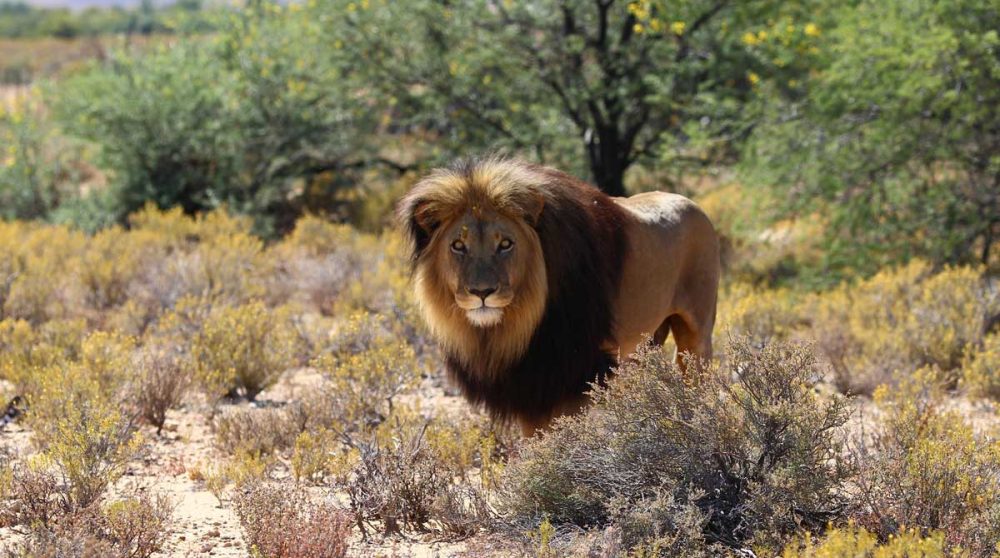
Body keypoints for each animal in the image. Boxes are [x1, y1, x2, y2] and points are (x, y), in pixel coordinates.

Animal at [398, 157, 720, 436]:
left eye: (505, 244)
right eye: (458, 246)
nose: (482, 292)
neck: (514, 327)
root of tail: (693, 204)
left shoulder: (570, 374)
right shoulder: (529, 383)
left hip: (695, 335)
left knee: (696, 377)